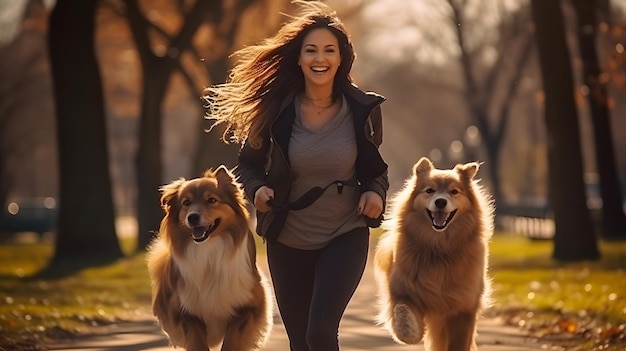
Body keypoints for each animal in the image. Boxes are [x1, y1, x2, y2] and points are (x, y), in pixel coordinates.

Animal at [147, 166, 274, 350]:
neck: (209, 248)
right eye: (186, 203)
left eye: (211, 200)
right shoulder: (186, 313)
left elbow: (231, 343)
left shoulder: (247, 307)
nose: (192, 217)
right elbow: (197, 343)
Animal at [370, 158, 492, 350]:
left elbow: (458, 343)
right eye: (429, 190)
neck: (438, 248)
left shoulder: (463, 310)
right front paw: (410, 332)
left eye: (454, 191)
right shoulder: (403, 290)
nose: (440, 202)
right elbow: (402, 312)